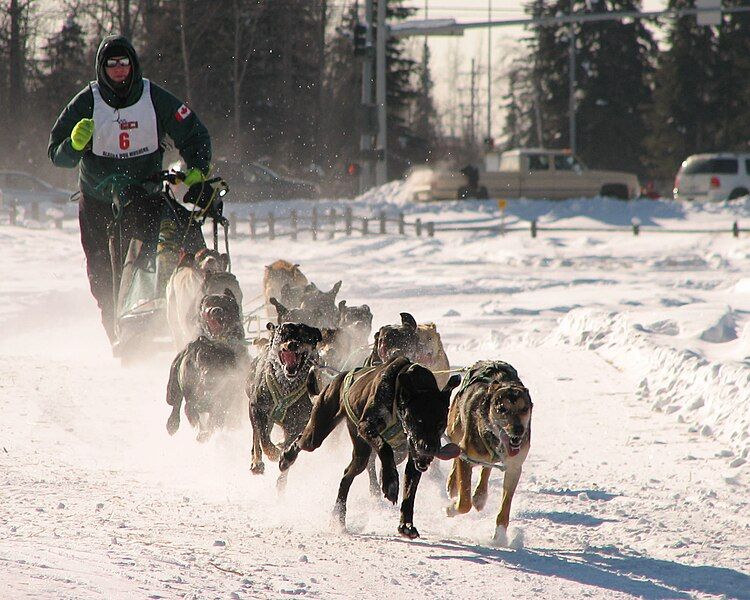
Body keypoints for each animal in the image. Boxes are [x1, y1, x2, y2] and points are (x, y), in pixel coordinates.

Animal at [247, 322, 324, 480]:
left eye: (305, 336)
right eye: (284, 333)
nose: (293, 344)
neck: (286, 386)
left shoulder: (299, 421)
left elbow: (290, 441)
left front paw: (284, 451)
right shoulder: (257, 407)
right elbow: (263, 440)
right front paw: (272, 453)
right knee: (257, 436)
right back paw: (257, 463)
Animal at [280, 356, 462, 540]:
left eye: (441, 423)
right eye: (418, 421)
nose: (430, 448)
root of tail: (338, 379)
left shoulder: (414, 457)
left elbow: (410, 493)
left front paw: (406, 525)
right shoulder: (367, 426)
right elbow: (385, 448)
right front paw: (390, 482)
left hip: (361, 453)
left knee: (347, 475)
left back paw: (338, 517)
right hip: (318, 434)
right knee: (301, 441)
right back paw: (286, 458)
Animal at [446, 358, 536, 548]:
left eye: (524, 409)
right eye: (502, 409)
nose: (518, 430)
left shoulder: (514, 468)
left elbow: (505, 509)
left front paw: (500, 537)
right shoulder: (467, 456)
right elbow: (464, 503)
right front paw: (452, 507)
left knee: (486, 467)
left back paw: (480, 496)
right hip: (455, 430)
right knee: (455, 453)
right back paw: (453, 485)